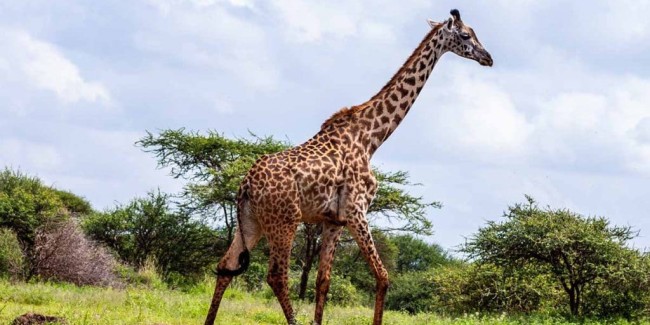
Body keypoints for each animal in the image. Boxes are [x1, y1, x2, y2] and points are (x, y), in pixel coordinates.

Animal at [205, 8, 488, 324]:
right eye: (465, 35)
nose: (488, 57)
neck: (371, 138)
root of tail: (245, 185)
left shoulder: (334, 220)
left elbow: (323, 281)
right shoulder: (357, 210)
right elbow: (383, 277)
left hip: (252, 222)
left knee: (226, 265)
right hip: (284, 221)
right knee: (276, 276)